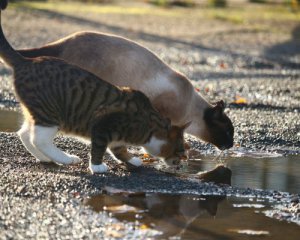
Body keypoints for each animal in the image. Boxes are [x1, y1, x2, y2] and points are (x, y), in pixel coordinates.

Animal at [0, 1, 188, 174]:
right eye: (181, 150)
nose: (181, 162)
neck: (148, 125)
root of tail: (26, 61)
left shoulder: (116, 137)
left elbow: (119, 150)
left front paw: (132, 160)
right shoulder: (103, 124)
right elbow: (99, 147)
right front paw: (97, 167)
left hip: (37, 112)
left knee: (24, 134)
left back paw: (45, 158)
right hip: (49, 113)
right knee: (39, 139)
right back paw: (66, 158)